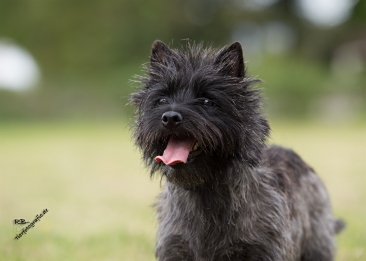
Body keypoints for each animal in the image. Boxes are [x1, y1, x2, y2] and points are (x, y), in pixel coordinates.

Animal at [130, 40, 344, 260]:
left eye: (207, 101)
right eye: (162, 100)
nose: (170, 117)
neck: (205, 193)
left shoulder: (265, 250)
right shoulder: (175, 248)